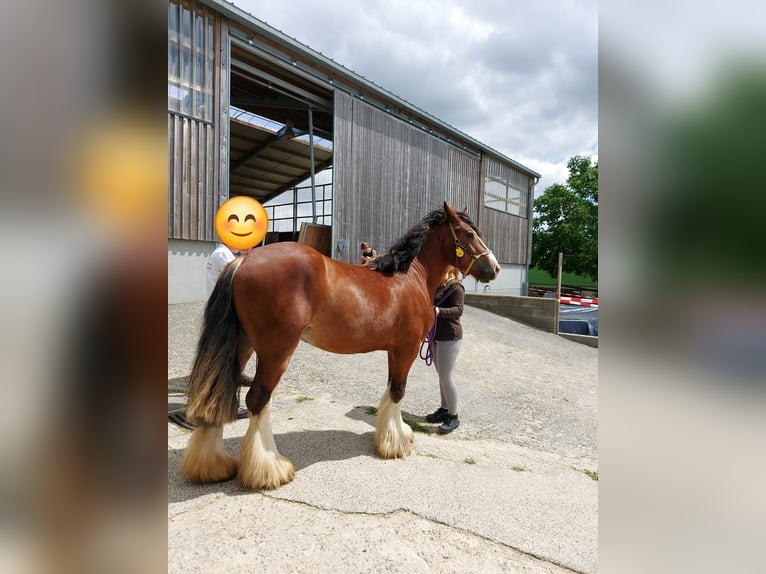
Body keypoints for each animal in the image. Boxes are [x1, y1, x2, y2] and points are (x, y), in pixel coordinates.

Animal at [180, 202, 500, 489]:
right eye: (468, 234)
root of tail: (243, 261)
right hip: (275, 352)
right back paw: (270, 470)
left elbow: (390, 391)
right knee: (257, 400)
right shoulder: (407, 349)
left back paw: (212, 466)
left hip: (242, 346)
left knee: (218, 395)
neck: (410, 276)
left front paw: (390, 437)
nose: (494, 268)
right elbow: (398, 392)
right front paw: (396, 443)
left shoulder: (393, 351)